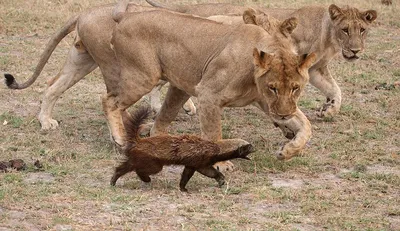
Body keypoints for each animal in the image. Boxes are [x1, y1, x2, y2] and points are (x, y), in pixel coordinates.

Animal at [104, 6, 318, 163]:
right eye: (272, 88)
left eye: (296, 88)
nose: (283, 116)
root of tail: (126, 15)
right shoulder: (208, 94)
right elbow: (213, 134)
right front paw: (221, 164)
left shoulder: (266, 102)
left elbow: (305, 124)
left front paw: (288, 151)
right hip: (143, 77)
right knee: (109, 101)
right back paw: (120, 138)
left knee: (147, 115)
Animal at [145, 0, 376, 117]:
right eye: (345, 29)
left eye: (362, 30)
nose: (355, 51)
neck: (327, 35)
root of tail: (189, 9)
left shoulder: (315, 69)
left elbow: (335, 89)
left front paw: (329, 109)